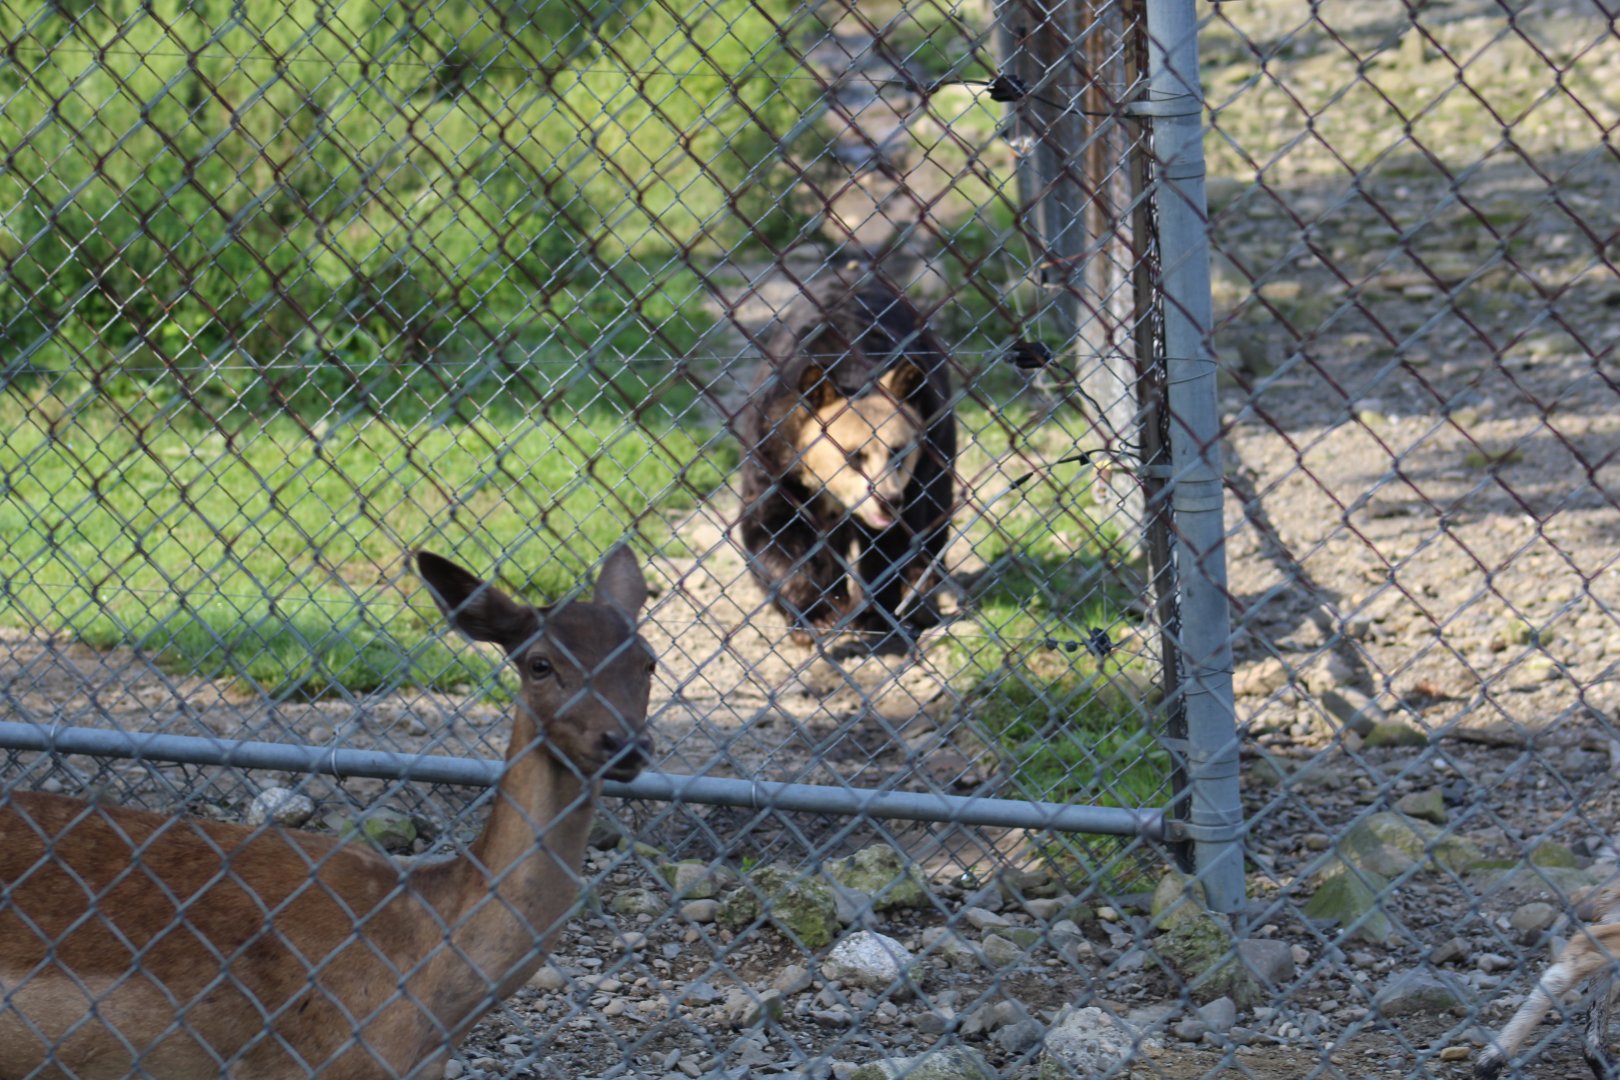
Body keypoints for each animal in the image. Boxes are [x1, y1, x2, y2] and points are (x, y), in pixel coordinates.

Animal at [733, 274, 956, 644]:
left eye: (897, 452)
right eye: (854, 455)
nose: (887, 501)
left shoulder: (917, 470)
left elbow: (893, 541)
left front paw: (873, 614)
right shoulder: (770, 453)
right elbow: (773, 529)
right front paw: (816, 615)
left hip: (940, 428)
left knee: (938, 505)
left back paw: (923, 588)